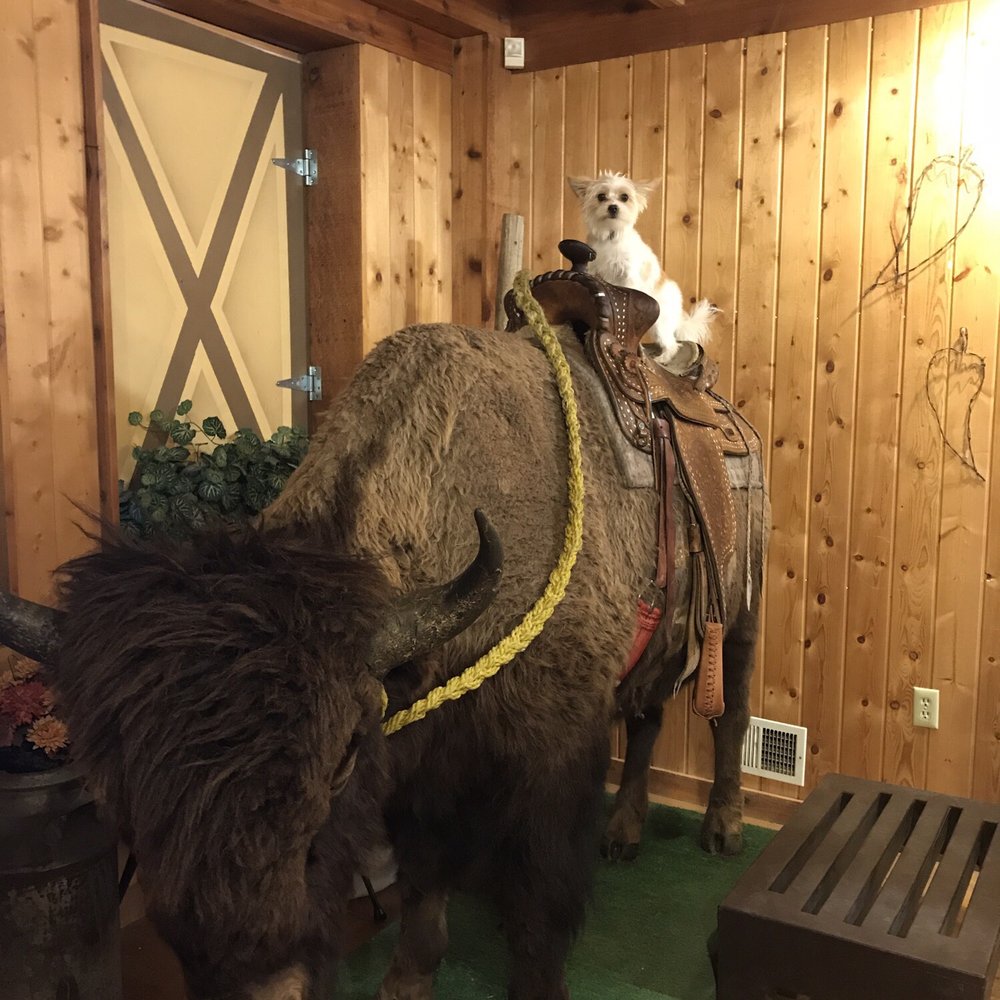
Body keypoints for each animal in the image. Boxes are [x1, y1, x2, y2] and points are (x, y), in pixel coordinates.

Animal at [0, 281, 768, 999]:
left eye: (342, 759)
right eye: (115, 789)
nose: (264, 983)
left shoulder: (553, 749)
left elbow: (541, 891)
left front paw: (535, 981)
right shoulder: (421, 753)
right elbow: (425, 869)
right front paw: (408, 977)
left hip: (740, 617)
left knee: (728, 714)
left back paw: (722, 830)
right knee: (649, 717)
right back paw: (624, 835)